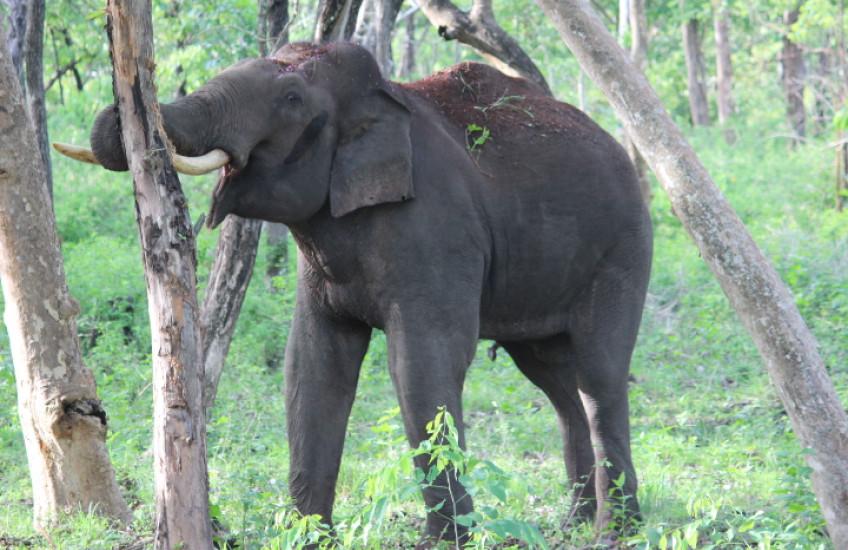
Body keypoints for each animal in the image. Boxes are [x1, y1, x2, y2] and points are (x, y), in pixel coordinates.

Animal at [70, 41, 653, 547]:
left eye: (291, 99)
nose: (124, 116)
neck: (384, 98)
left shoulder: (436, 231)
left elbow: (423, 363)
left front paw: (443, 543)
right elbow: (311, 365)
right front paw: (308, 538)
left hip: (623, 250)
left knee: (599, 373)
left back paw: (615, 533)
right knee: (556, 378)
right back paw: (576, 525)